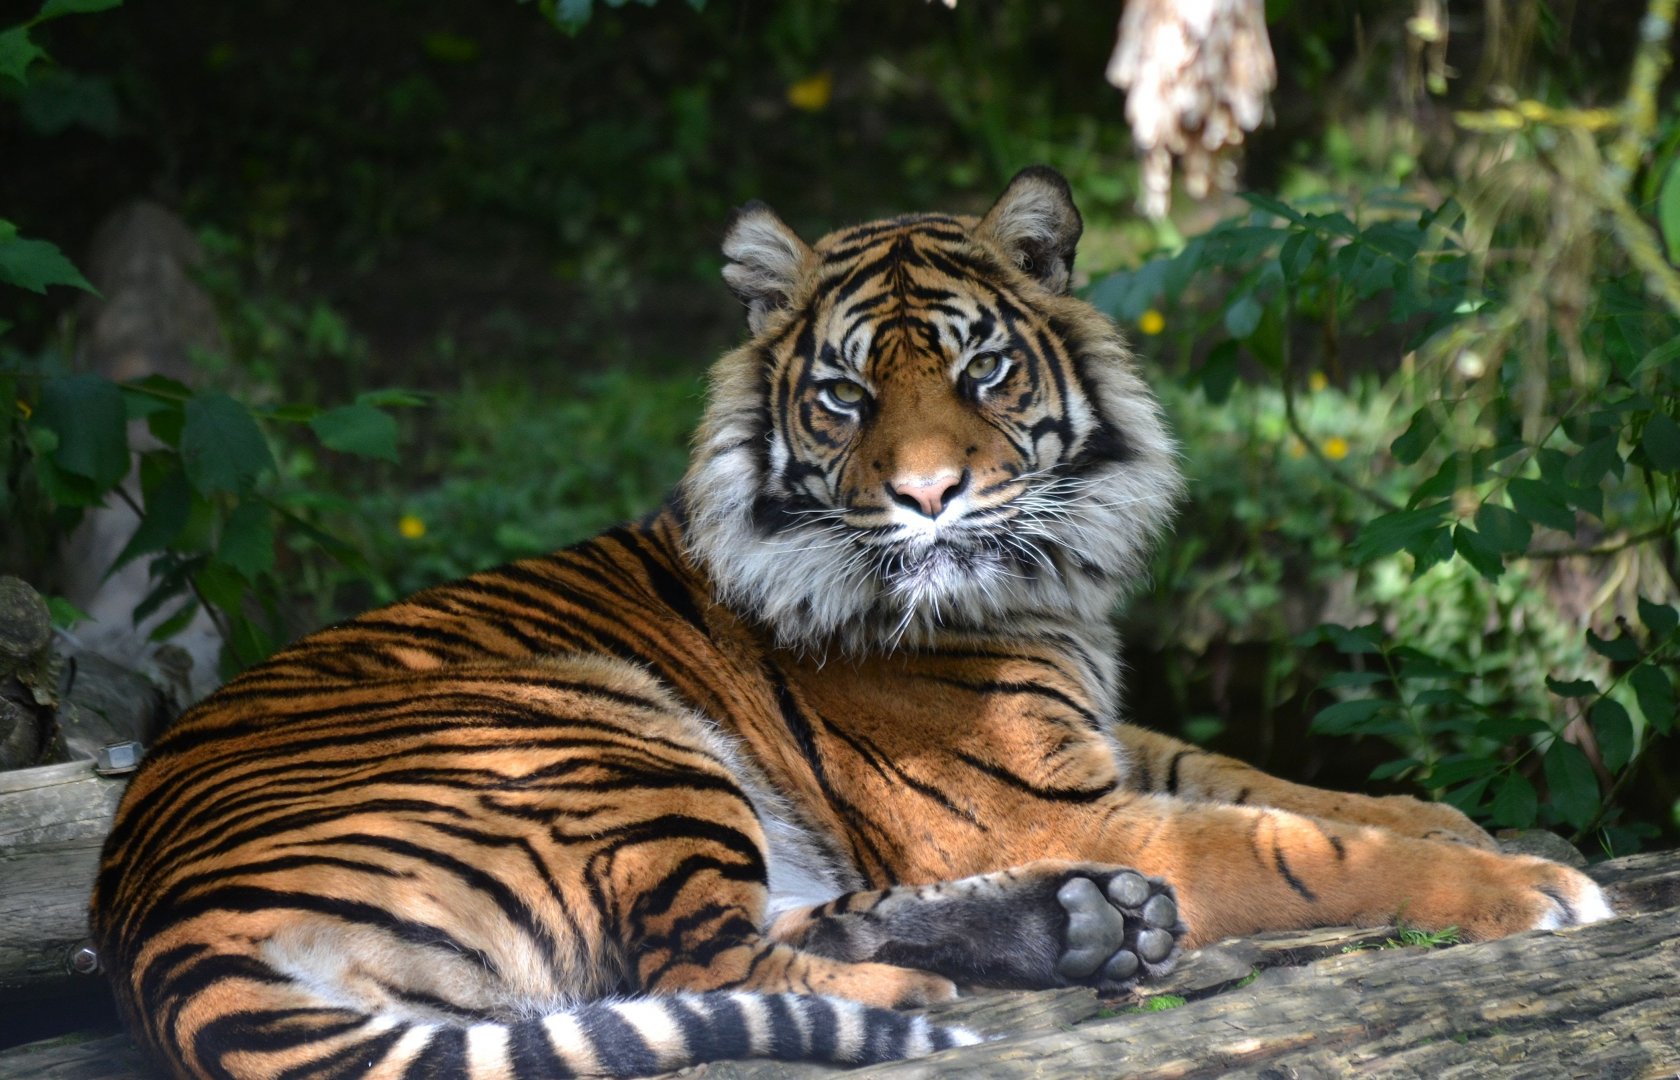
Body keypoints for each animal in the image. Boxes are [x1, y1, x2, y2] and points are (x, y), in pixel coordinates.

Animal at [90, 166, 1615, 1080]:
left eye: (981, 372)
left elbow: (1270, 777)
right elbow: (1292, 847)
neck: (1041, 578)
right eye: (843, 395)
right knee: (698, 957)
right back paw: (937, 999)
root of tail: (151, 927)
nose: (930, 495)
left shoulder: (1096, 750)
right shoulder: (1047, 798)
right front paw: (1525, 888)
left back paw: (1076, 925)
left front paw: (1456, 820)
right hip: (590, 730)